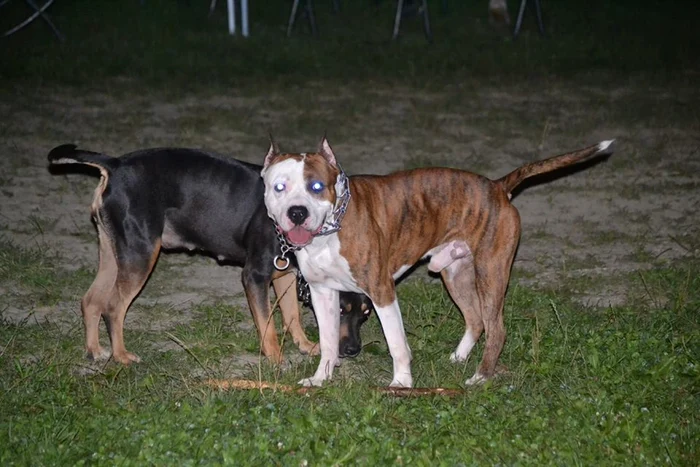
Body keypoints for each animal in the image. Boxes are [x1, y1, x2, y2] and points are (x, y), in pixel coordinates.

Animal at [46, 145, 370, 366]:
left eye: (366, 313)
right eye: (340, 310)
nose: (353, 350)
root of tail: (116, 164)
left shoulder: (284, 275)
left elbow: (291, 316)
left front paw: (304, 346)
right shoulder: (254, 276)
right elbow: (268, 324)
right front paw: (276, 358)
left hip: (114, 254)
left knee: (91, 301)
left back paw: (95, 351)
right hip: (141, 255)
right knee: (113, 307)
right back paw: (121, 356)